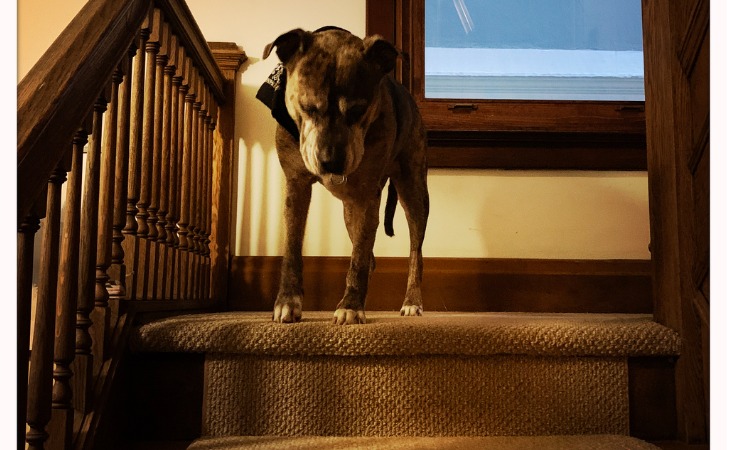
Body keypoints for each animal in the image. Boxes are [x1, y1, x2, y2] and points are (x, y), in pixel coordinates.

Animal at [262, 27, 426, 324]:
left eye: (358, 110)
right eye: (307, 107)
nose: (331, 162)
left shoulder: (367, 197)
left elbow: (358, 257)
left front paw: (350, 306)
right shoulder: (296, 185)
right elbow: (291, 248)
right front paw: (287, 302)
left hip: (414, 190)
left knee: (414, 252)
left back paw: (412, 302)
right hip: (351, 211)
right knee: (369, 254)